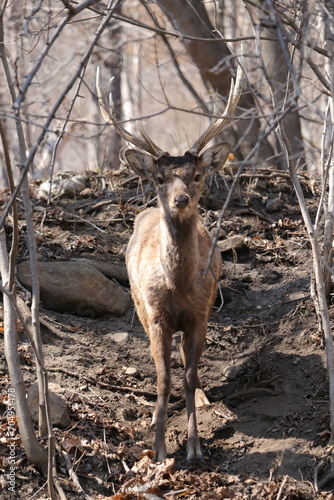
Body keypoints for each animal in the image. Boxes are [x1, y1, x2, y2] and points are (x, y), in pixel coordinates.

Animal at [96, 65, 243, 460]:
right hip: (139, 306)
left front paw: (194, 448)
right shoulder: (156, 314)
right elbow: (163, 379)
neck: (178, 286)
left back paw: (204, 400)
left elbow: (188, 377)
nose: (179, 199)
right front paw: (160, 448)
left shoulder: (200, 314)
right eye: (160, 178)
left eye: (197, 175)